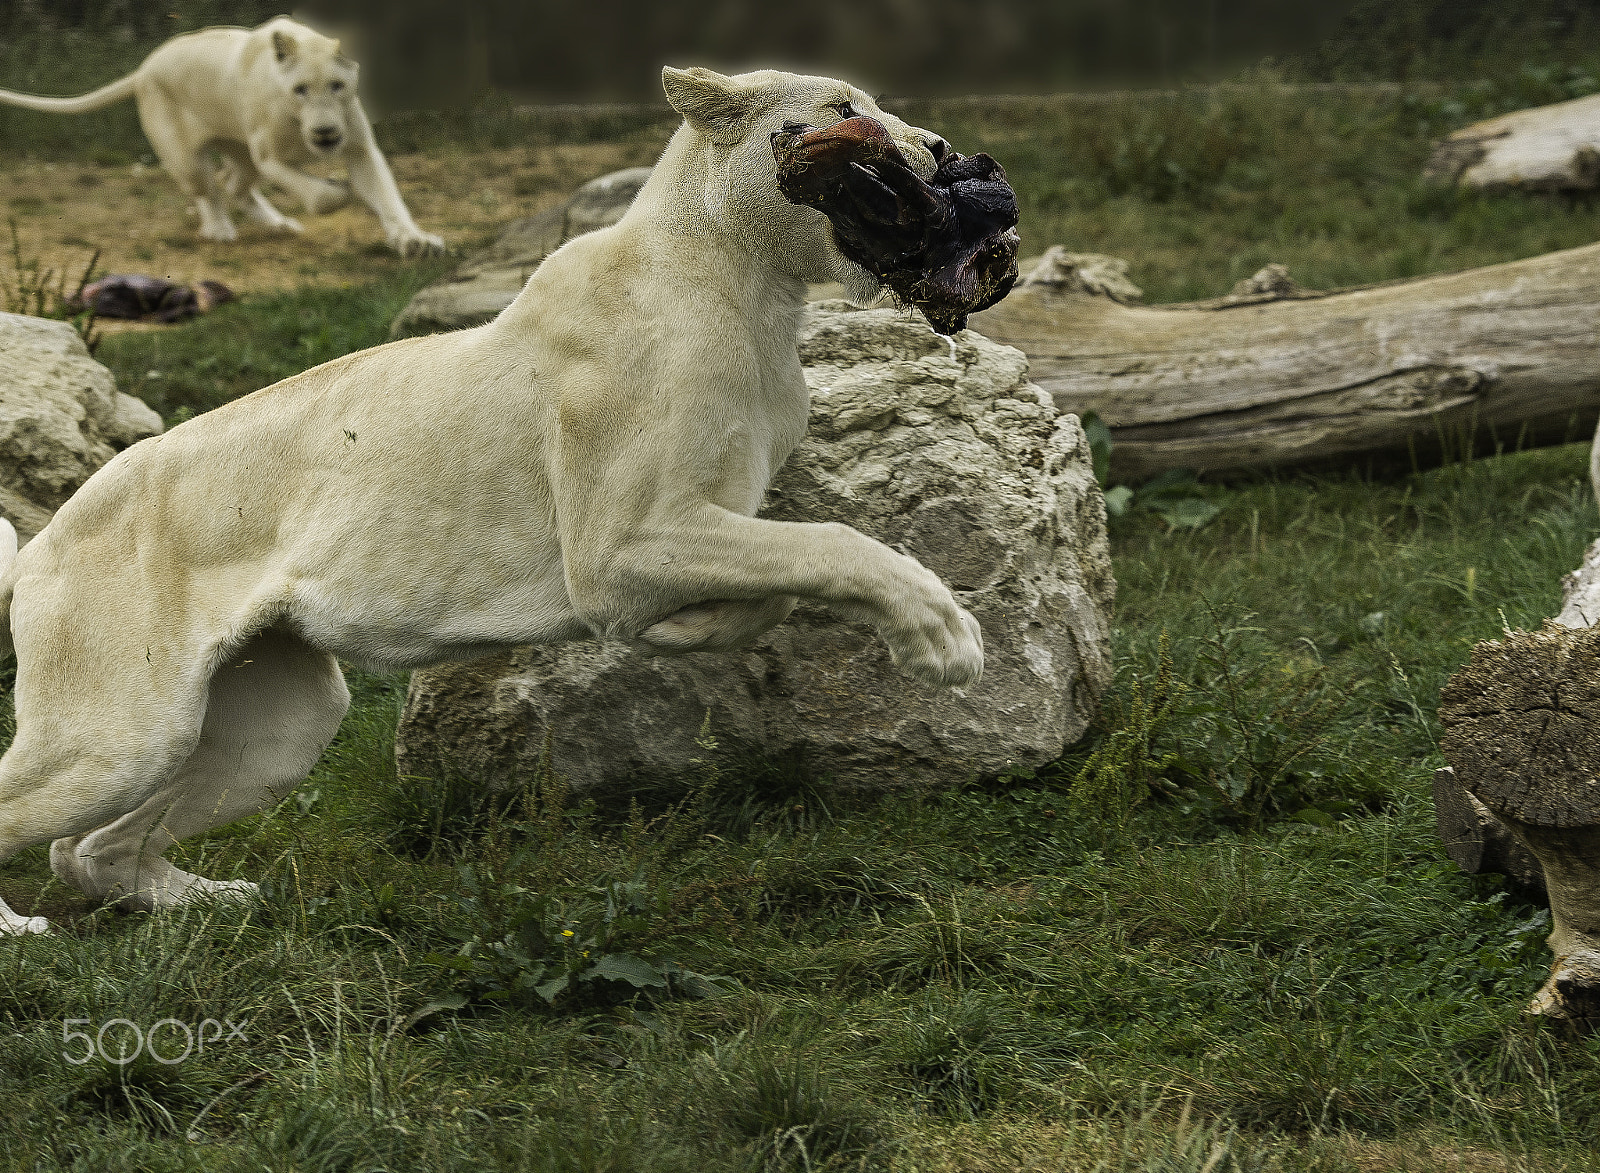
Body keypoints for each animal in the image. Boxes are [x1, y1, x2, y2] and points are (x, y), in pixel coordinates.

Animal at [0, 16, 444, 256]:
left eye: (337, 86)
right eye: (300, 89)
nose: (324, 133)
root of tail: (144, 69)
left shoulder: (360, 148)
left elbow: (388, 198)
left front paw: (415, 241)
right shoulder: (269, 156)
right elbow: (320, 196)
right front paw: (340, 190)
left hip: (241, 153)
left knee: (234, 186)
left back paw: (279, 224)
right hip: (191, 157)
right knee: (209, 191)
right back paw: (220, 230)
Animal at [0, 66, 983, 934]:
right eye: (845, 110)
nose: (940, 149)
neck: (757, 290)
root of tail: (45, 539)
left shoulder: (690, 528)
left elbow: (778, 580)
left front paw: (689, 631)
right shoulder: (618, 546)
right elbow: (835, 539)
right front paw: (944, 637)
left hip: (272, 727)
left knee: (85, 849)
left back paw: (217, 904)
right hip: (119, 733)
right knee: (46, 823)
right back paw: (28, 933)